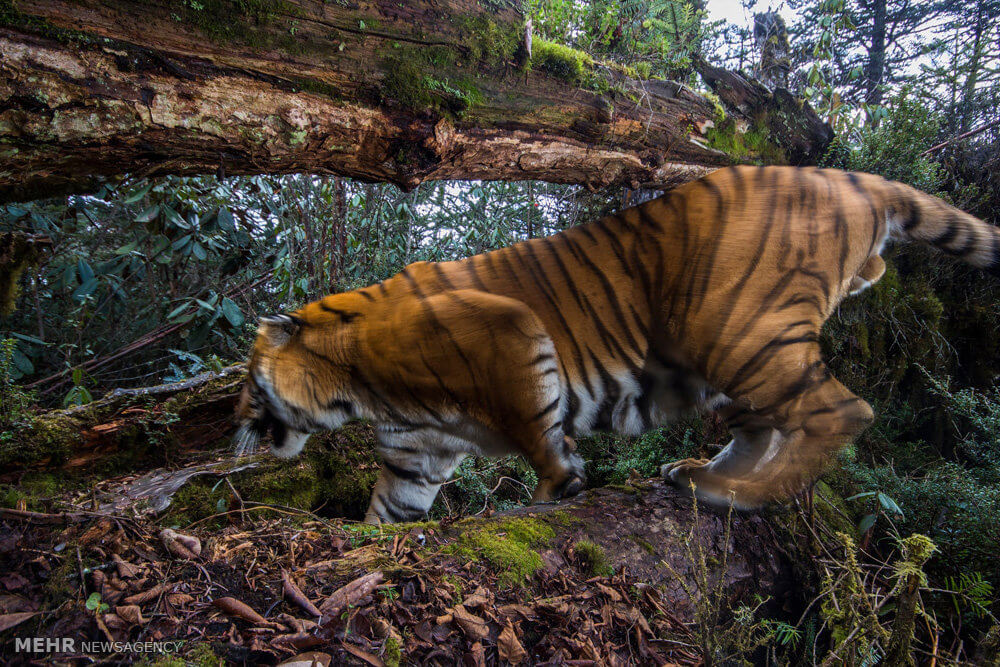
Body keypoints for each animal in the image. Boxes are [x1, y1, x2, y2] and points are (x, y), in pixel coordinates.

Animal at [236, 166, 1000, 520]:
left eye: (245, 382)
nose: (236, 424)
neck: (356, 387)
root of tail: (848, 174)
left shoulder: (509, 331)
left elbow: (538, 430)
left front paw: (556, 490)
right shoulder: (413, 453)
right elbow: (388, 510)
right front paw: (368, 545)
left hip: (735, 329)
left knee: (842, 411)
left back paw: (741, 496)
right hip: (728, 352)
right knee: (766, 422)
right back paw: (703, 477)